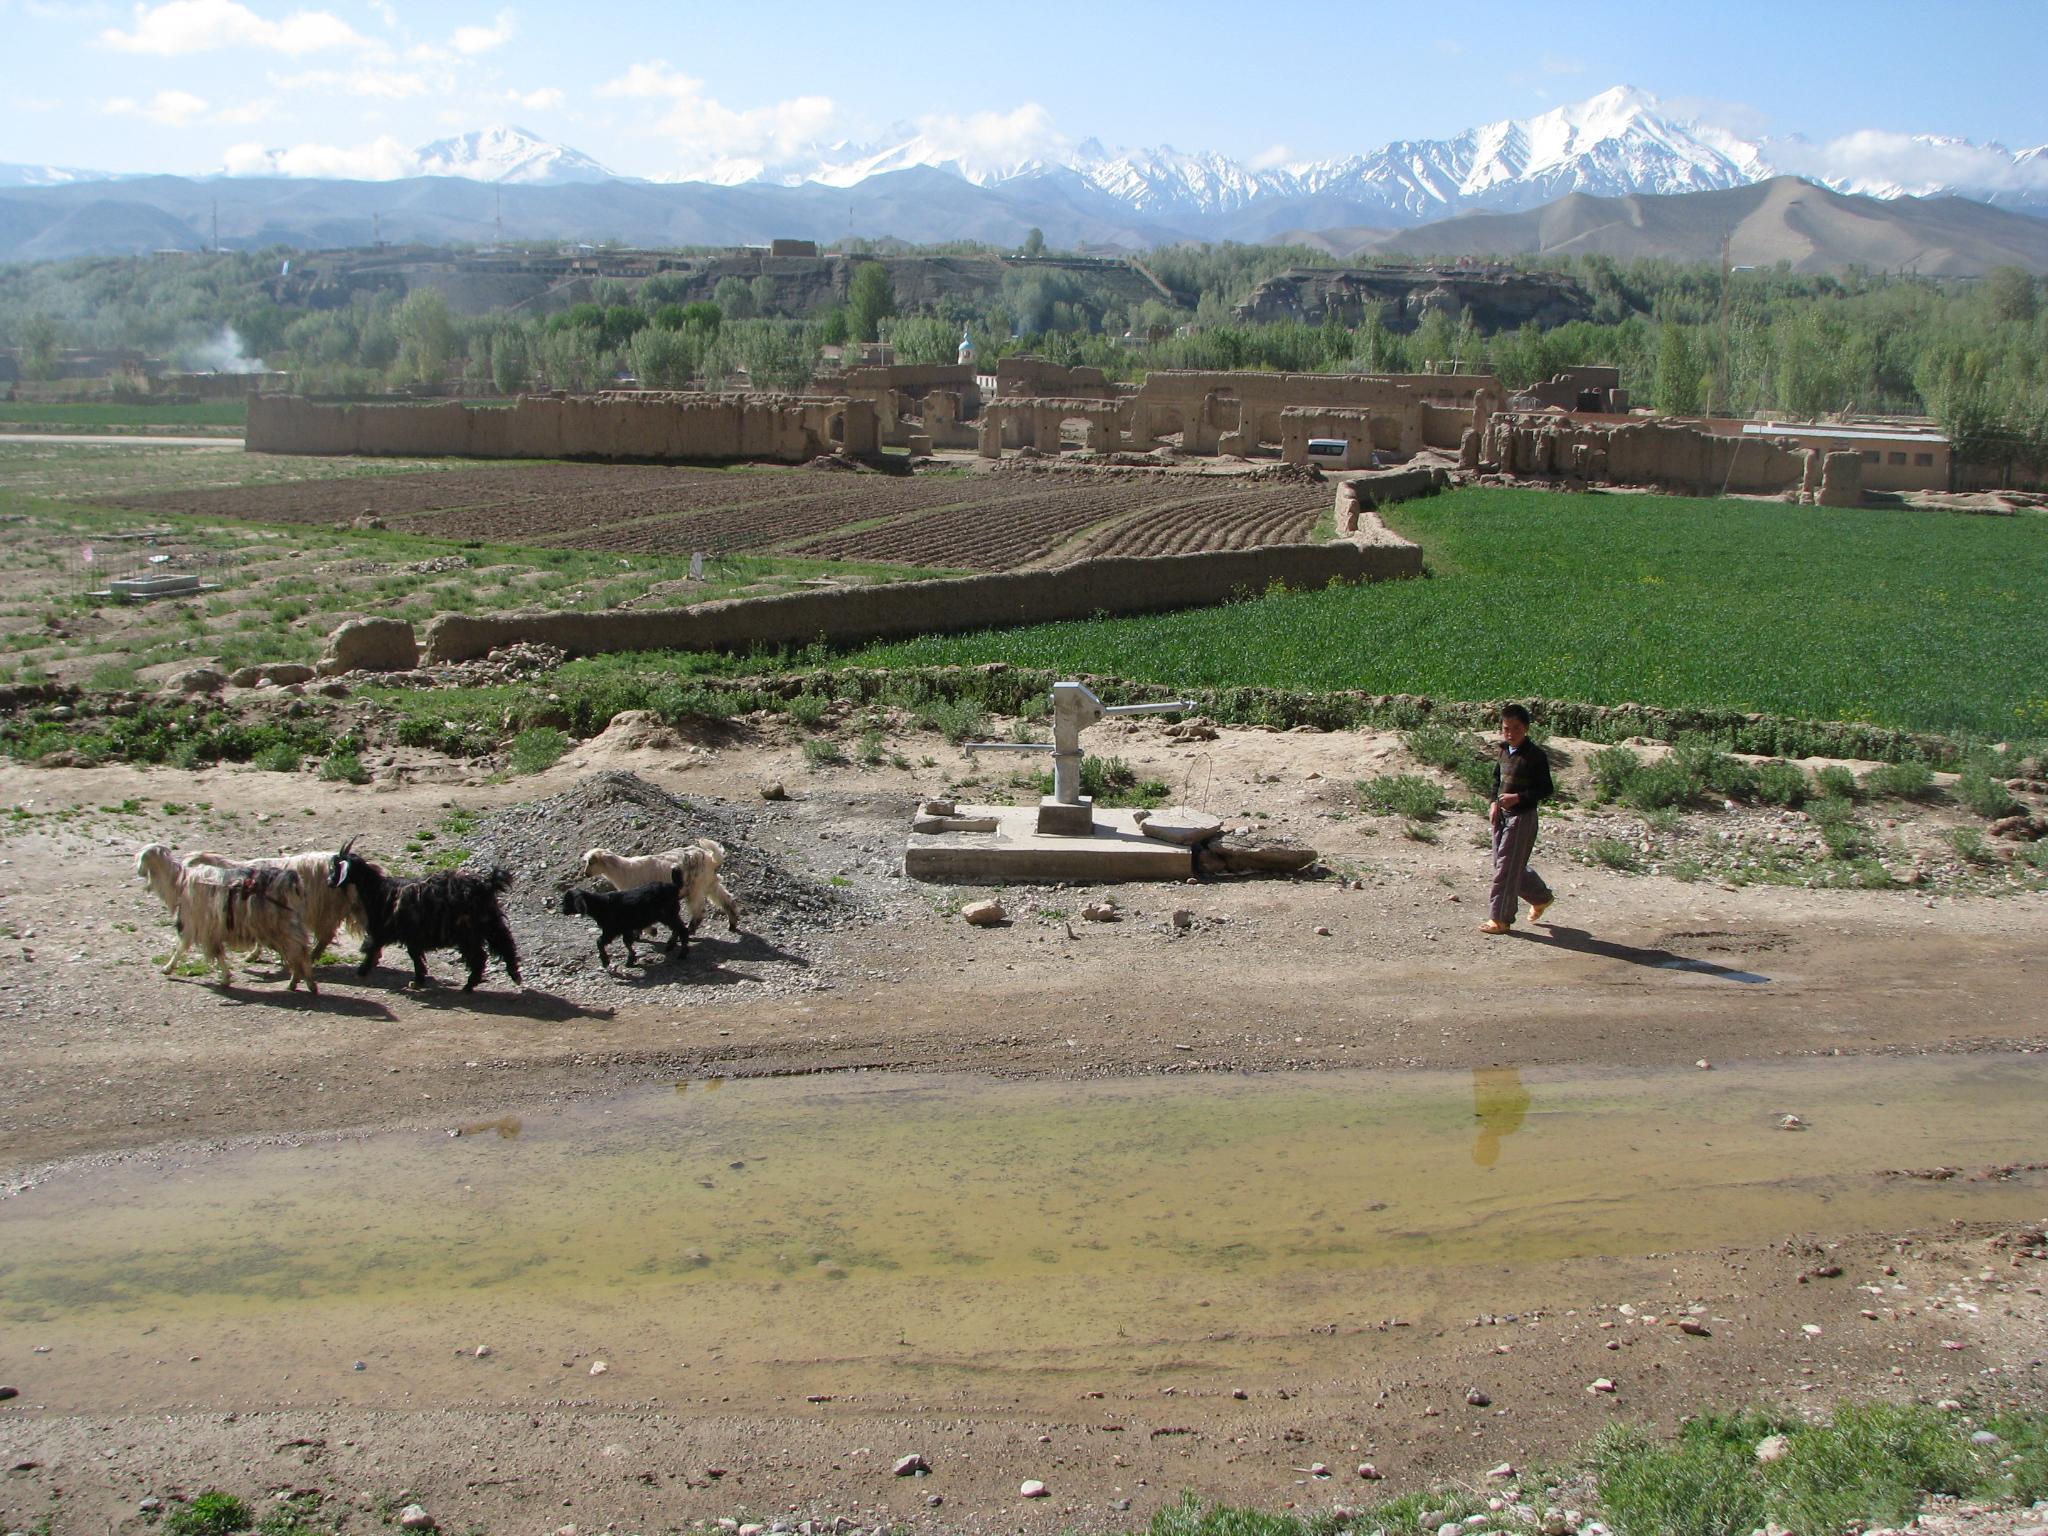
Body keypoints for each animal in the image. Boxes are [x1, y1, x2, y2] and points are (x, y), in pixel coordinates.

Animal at [137, 843, 319, 999]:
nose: (139, 872)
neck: (179, 882)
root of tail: (291, 880)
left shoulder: (196, 924)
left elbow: (183, 947)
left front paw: (167, 968)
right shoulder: (206, 927)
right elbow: (208, 951)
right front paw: (226, 977)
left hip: (281, 925)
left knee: (298, 951)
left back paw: (307, 983)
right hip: (289, 923)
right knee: (298, 951)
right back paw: (297, 982)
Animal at [325, 843, 520, 999]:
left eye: (336, 868)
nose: (329, 882)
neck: (379, 891)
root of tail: (487, 884)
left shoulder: (385, 929)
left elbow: (374, 948)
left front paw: (362, 971)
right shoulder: (411, 935)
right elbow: (414, 955)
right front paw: (419, 979)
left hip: (468, 930)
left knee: (480, 956)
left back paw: (469, 985)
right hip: (490, 923)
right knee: (505, 945)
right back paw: (514, 976)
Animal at [581, 843, 741, 937]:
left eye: (591, 862)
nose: (586, 874)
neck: (623, 870)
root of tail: (711, 858)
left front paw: (650, 931)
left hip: (696, 886)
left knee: (699, 909)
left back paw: (691, 929)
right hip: (710, 883)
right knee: (726, 899)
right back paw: (732, 923)